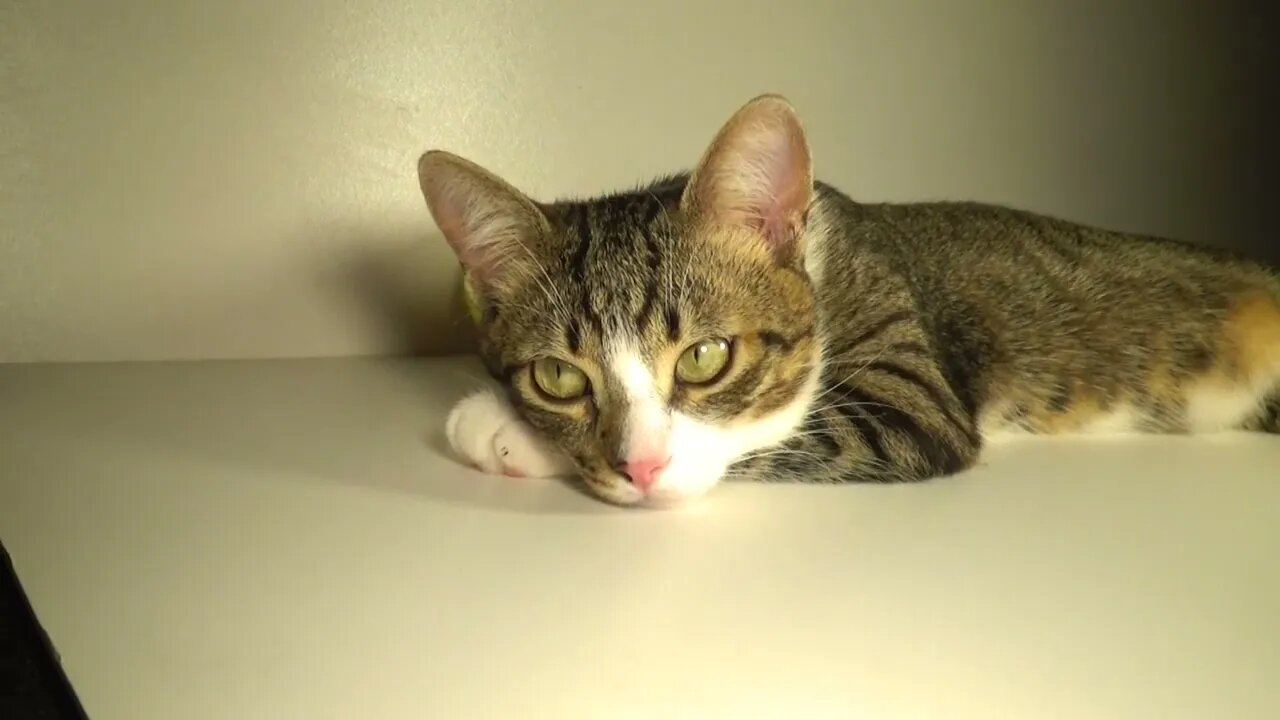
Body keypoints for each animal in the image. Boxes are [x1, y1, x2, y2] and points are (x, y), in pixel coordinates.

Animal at [419, 92, 1280, 504]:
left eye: (705, 358)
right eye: (559, 377)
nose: (637, 470)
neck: (823, 261)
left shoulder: (913, 392)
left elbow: (785, 429)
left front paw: (502, 431)